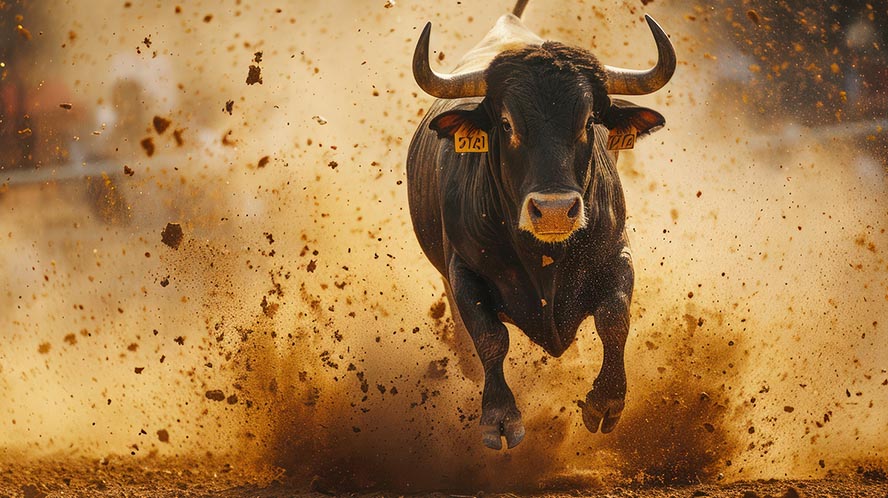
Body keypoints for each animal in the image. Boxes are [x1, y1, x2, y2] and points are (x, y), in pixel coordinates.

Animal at [406, 1, 675, 450]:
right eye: (507, 123)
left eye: (589, 121)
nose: (553, 210)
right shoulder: (463, 271)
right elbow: (490, 337)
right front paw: (499, 416)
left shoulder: (616, 253)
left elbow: (614, 317)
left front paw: (606, 402)